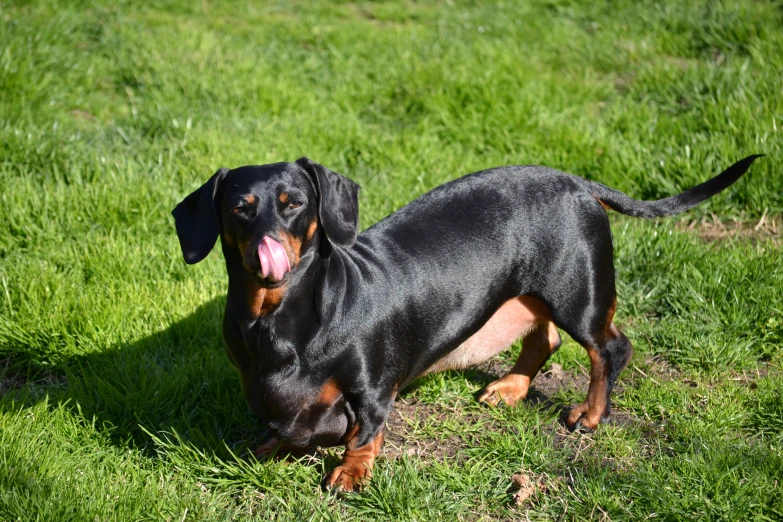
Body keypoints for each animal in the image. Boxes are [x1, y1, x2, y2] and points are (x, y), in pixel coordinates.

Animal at [172, 152, 760, 490]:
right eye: (240, 207)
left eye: (293, 203)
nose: (266, 251)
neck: (282, 320)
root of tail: (574, 181)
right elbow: (278, 427)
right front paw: (265, 447)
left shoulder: (372, 387)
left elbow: (366, 429)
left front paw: (351, 471)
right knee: (544, 340)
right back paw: (510, 388)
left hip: (578, 294)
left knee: (608, 349)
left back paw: (591, 416)